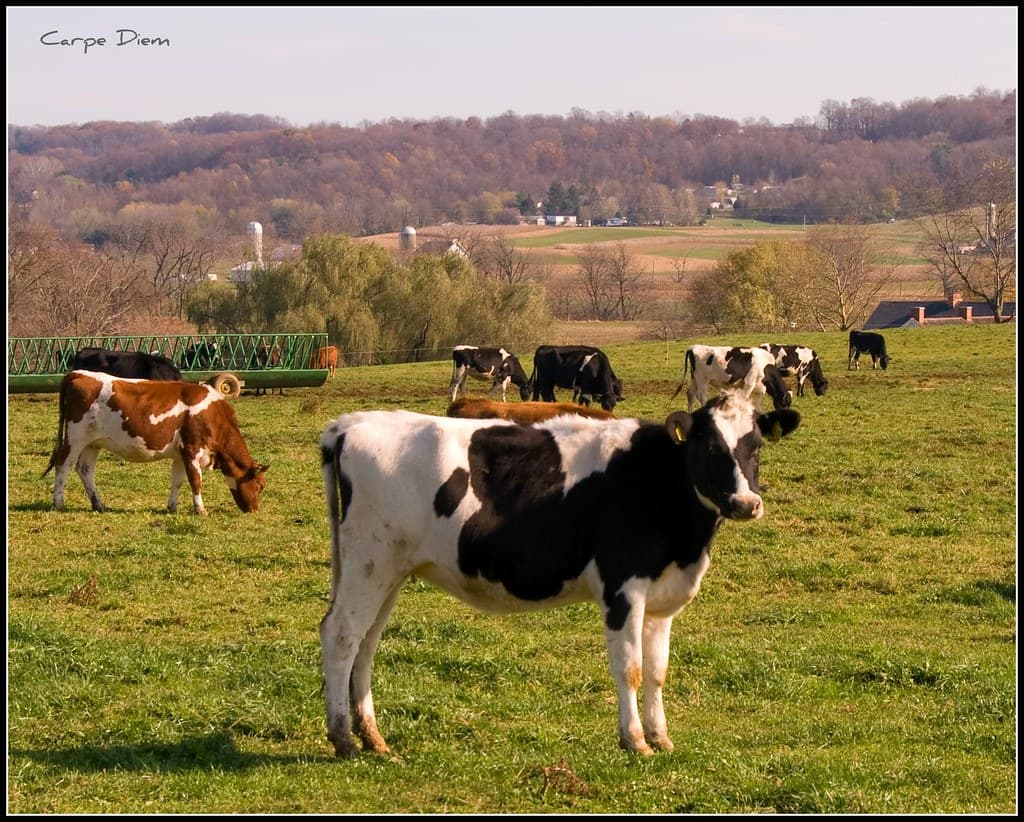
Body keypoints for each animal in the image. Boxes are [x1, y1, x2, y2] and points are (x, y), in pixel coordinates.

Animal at [43, 370, 269, 515]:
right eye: (260, 485)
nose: (254, 510)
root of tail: (77, 374)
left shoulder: (180, 454)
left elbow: (177, 481)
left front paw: (172, 507)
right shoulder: (192, 450)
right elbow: (195, 481)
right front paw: (200, 509)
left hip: (93, 443)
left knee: (85, 470)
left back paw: (98, 505)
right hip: (75, 437)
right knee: (64, 465)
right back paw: (59, 503)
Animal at [318, 390, 801, 757]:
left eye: (756, 446)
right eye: (709, 447)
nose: (746, 504)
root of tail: (350, 423)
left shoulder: (663, 599)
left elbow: (658, 670)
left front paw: (661, 738)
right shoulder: (622, 589)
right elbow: (630, 668)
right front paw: (635, 741)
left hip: (387, 571)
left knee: (366, 642)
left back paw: (372, 737)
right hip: (369, 564)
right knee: (341, 634)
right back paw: (344, 739)